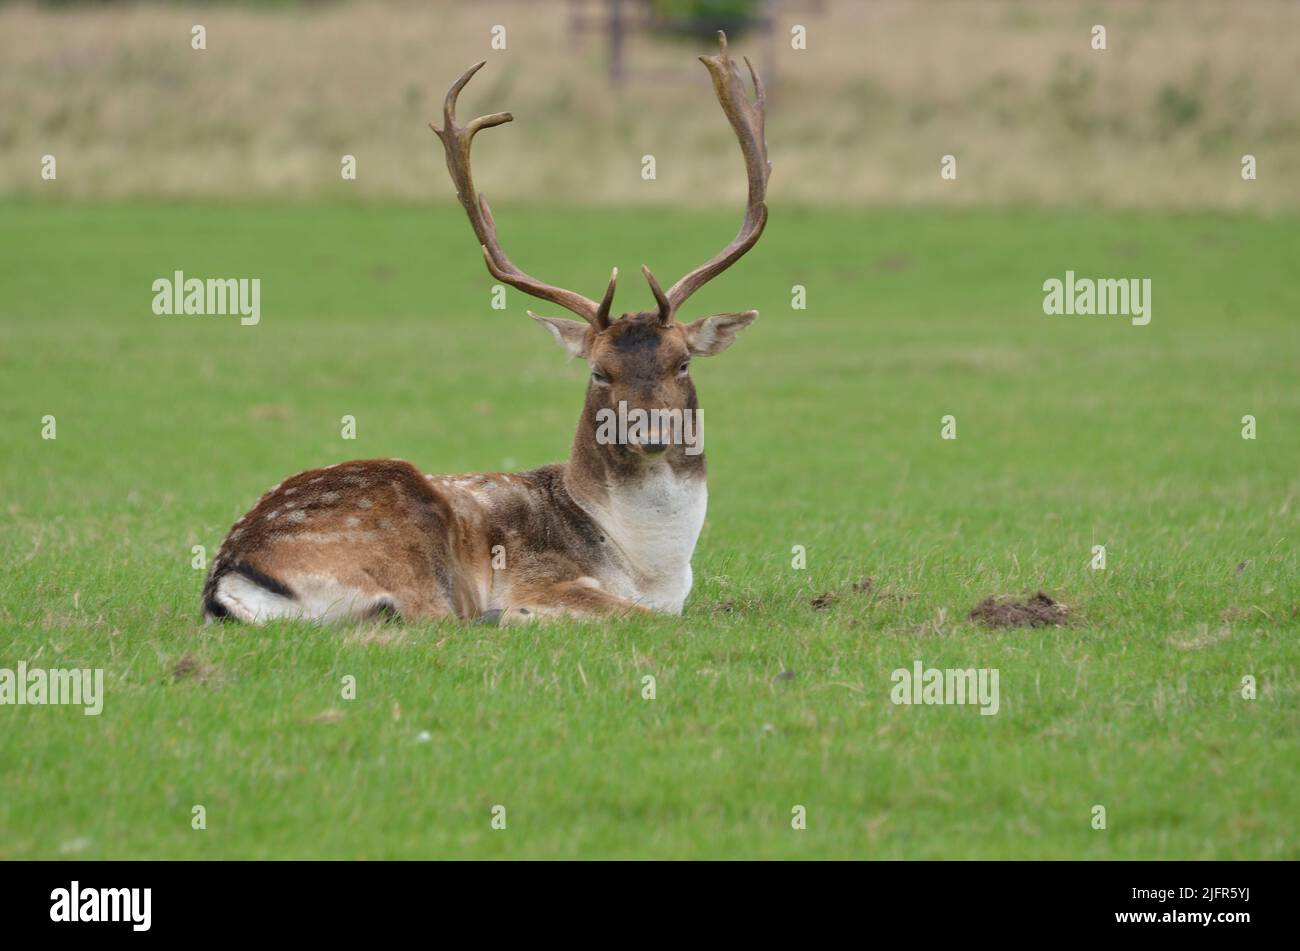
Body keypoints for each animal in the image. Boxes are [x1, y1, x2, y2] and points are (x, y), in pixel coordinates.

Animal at [200, 33, 769, 623]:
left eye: (682, 363)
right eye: (598, 372)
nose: (652, 432)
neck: (652, 570)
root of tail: (227, 575)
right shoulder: (543, 576)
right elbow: (636, 616)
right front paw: (520, 616)